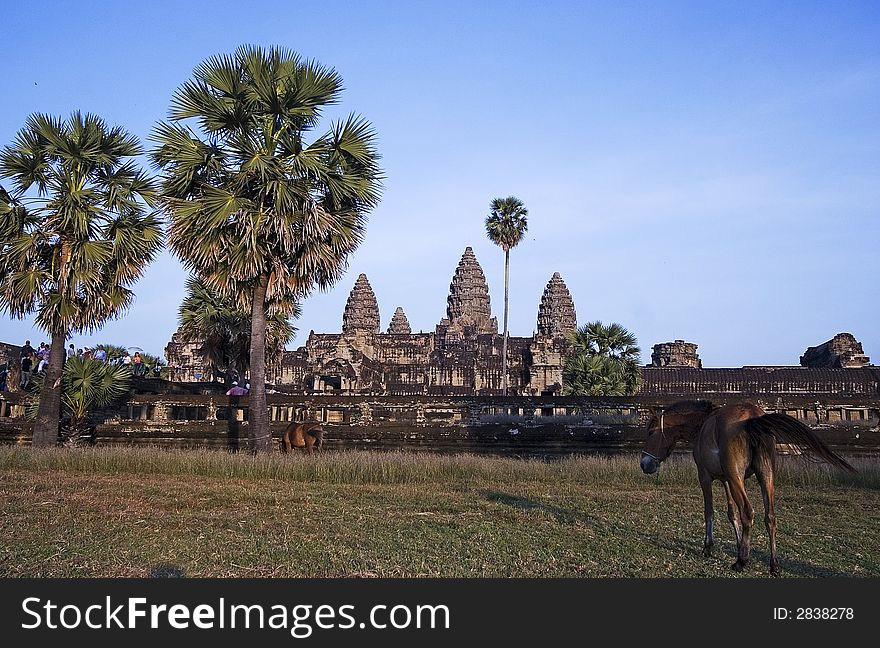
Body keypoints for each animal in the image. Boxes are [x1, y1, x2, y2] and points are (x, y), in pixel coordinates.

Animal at [640, 400, 852, 576]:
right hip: (765, 476)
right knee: (770, 517)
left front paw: (709, 547)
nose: (644, 464)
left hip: (738, 479)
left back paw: (741, 562)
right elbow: (731, 513)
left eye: (650, 432)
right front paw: (739, 543)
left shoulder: (706, 477)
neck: (702, 425)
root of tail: (752, 418)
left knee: (748, 513)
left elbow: (710, 512)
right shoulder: (726, 480)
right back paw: (773, 565)